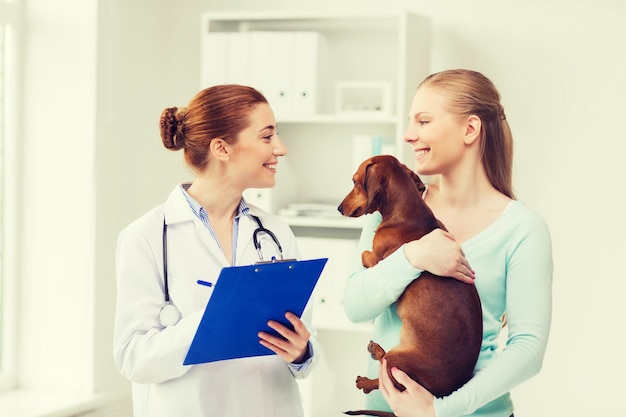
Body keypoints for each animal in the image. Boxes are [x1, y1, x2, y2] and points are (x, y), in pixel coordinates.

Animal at [338, 155, 480, 416]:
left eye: (354, 181)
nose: (339, 208)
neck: (407, 213)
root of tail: (439, 393)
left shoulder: (376, 257)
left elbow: (364, 254)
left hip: (397, 362)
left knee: (384, 378)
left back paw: (366, 380)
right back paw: (376, 350)